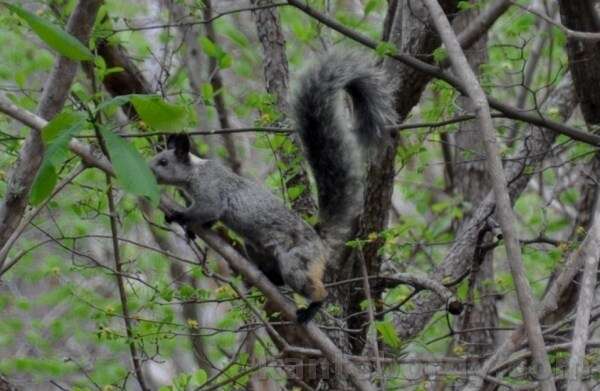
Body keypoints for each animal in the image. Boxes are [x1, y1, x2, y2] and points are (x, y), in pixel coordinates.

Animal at [148, 50, 396, 324]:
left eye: (164, 162)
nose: (147, 170)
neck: (195, 172)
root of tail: (319, 242)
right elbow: (208, 219)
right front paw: (192, 230)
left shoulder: (212, 191)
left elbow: (206, 210)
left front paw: (178, 215)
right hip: (258, 250)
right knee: (277, 277)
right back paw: (265, 279)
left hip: (296, 263)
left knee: (315, 288)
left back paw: (311, 308)